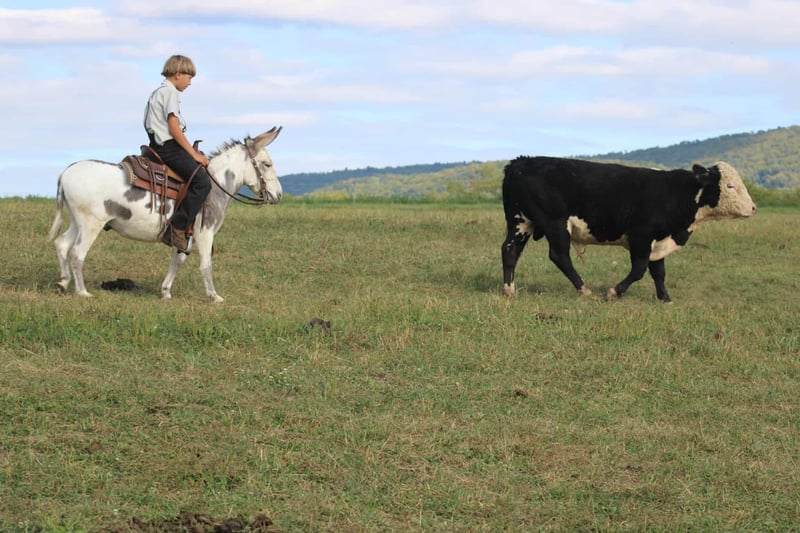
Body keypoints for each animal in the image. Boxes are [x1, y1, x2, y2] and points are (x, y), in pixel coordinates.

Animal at [47, 127, 282, 303]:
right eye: (267, 164)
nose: (279, 195)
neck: (215, 185)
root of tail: (66, 173)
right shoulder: (205, 233)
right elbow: (206, 265)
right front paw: (214, 296)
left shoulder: (184, 234)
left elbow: (177, 261)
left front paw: (165, 291)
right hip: (91, 225)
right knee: (77, 253)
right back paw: (82, 292)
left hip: (77, 222)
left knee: (62, 244)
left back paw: (63, 282)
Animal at [501, 156, 756, 302]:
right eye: (729, 185)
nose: (753, 208)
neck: (675, 193)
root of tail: (521, 162)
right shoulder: (641, 236)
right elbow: (640, 269)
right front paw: (614, 292)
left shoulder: (659, 241)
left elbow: (659, 272)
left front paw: (665, 298)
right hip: (555, 224)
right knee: (559, 256)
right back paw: (585, 290)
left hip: (521, 221)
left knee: (510, 250)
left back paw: (510, 291)